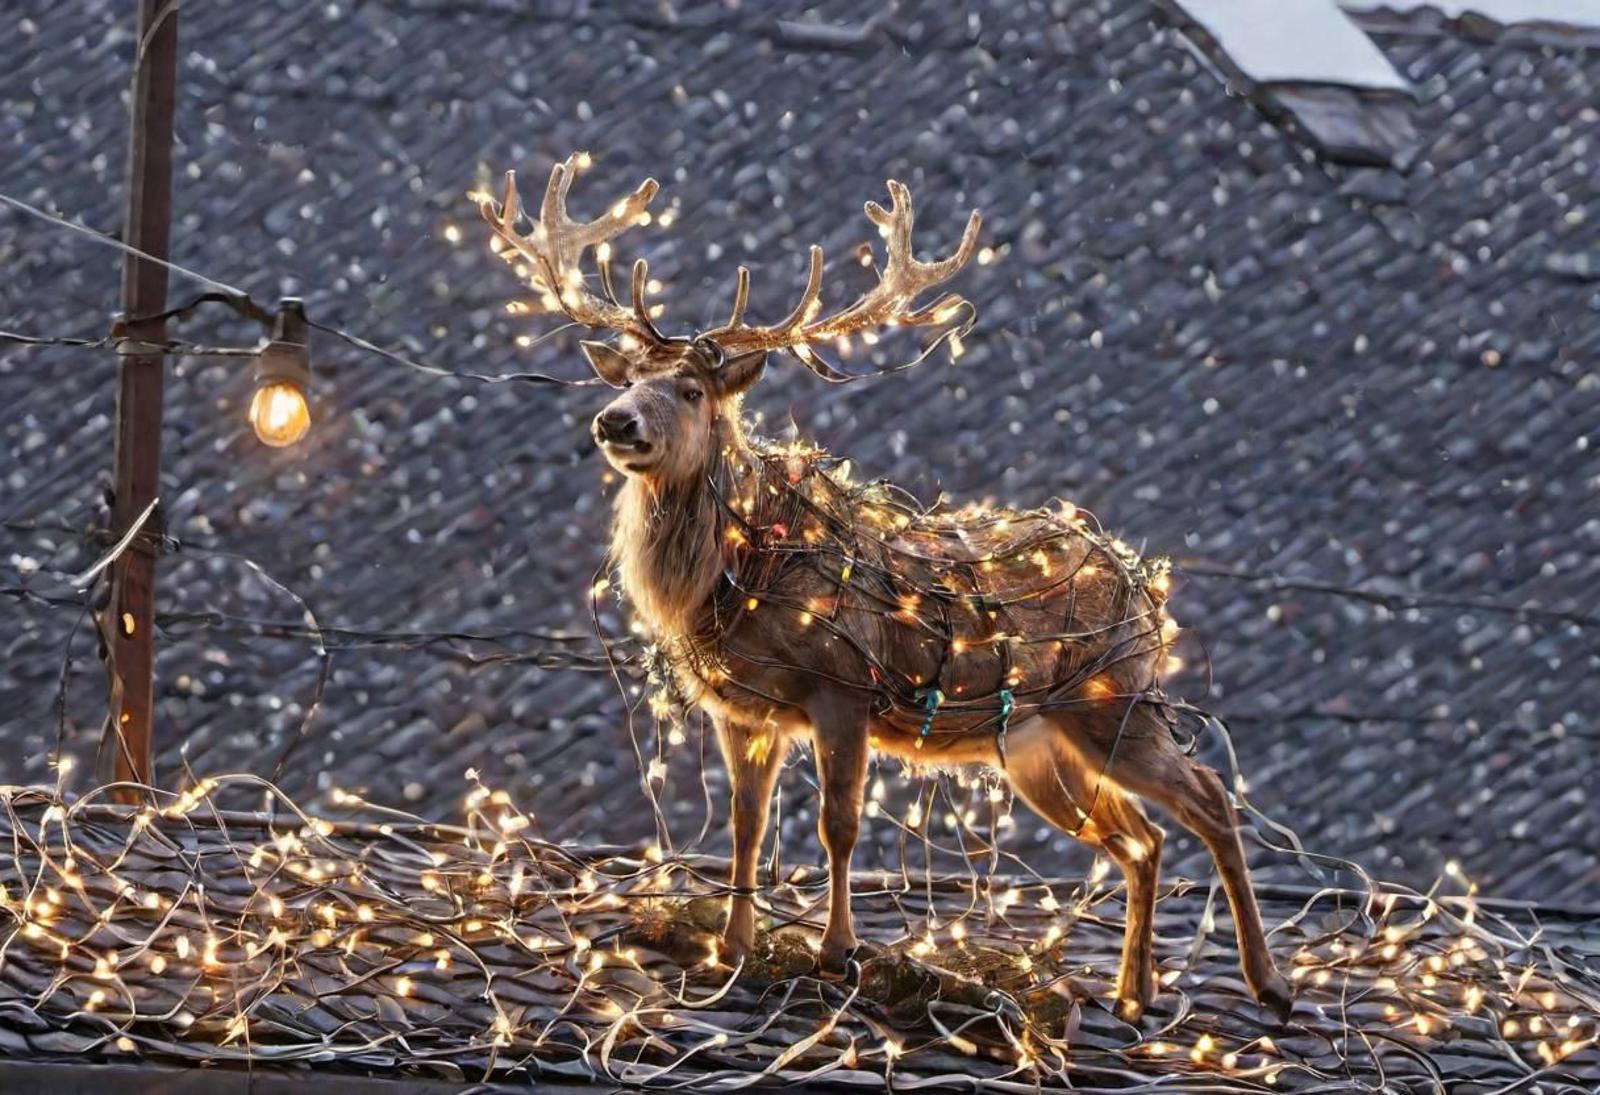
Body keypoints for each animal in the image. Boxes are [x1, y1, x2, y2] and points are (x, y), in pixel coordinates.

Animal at [480, 156, 1292, 1024]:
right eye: (628, 376)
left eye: (693, 390)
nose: (615, 421)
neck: (746, 570)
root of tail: (1144, 587)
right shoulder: (744, 709)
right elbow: (744, 823)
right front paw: (730, 946)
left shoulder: (842, 687)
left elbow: (838, 822)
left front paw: (838, 950)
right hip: (1042, 745)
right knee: (1141, 834)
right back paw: (1134, 991)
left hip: (1117, 698)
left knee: (1209, 795)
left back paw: (1267, 983)